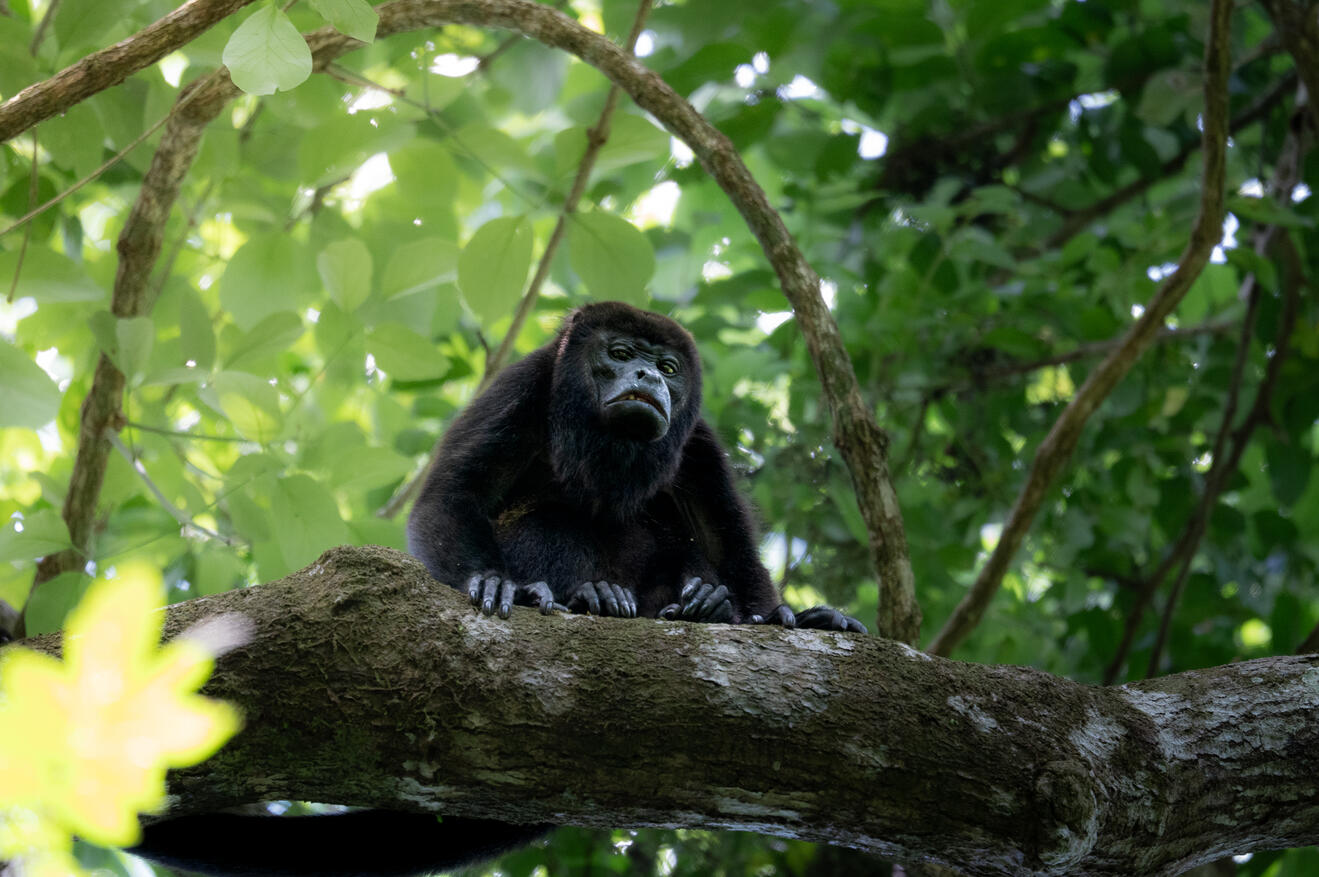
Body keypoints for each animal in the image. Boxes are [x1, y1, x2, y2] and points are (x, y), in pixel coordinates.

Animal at [130, 302, 864, 877]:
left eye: (668, 367)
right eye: (620, 353)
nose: (647, 377)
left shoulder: (701, 438)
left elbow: (729, 541)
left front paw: (787, 615)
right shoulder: (523, 384)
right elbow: (450, 493)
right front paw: (490, 579)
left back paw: (701, 607)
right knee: (548, 519)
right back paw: (589, 598)